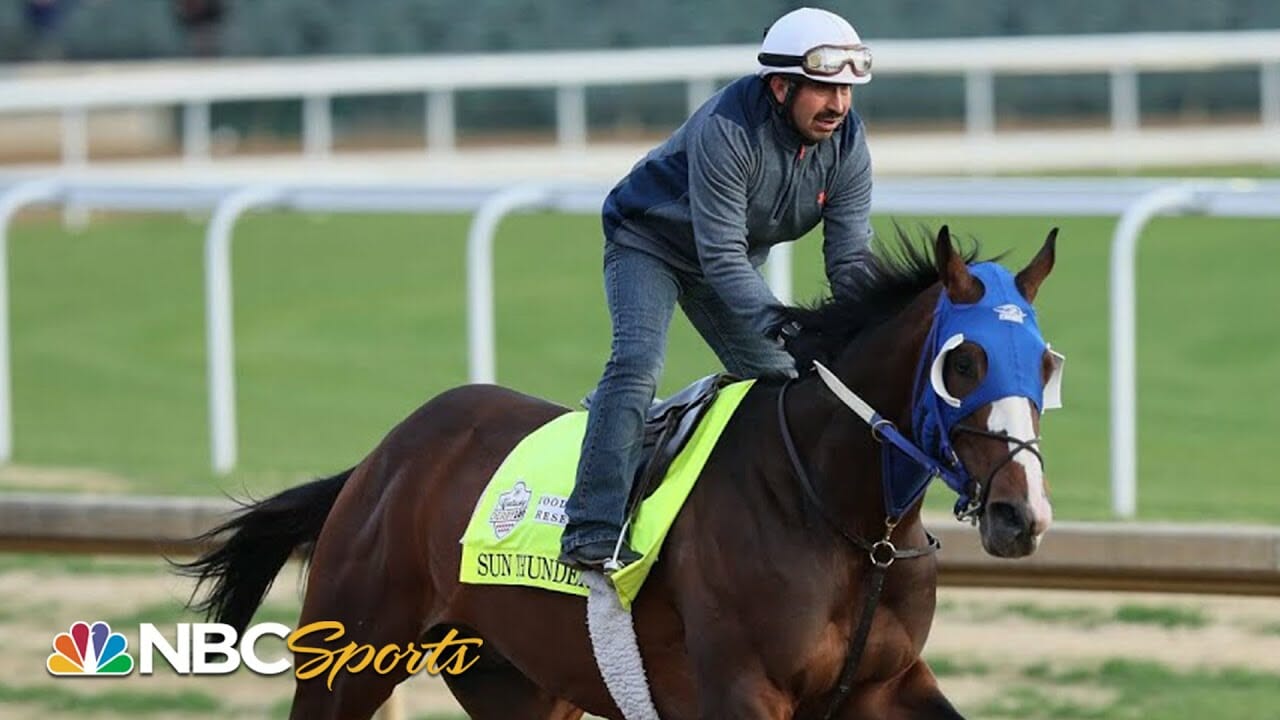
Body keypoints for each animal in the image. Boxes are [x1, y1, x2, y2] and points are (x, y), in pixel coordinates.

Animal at [180, 225, 1059, 717]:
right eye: (964, 362)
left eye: (1047, 363)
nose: (1022, 516)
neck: (850, 526)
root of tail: (381, 458)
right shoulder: (743, 690)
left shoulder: (886, 685)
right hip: (347, 662)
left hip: (519, 684)